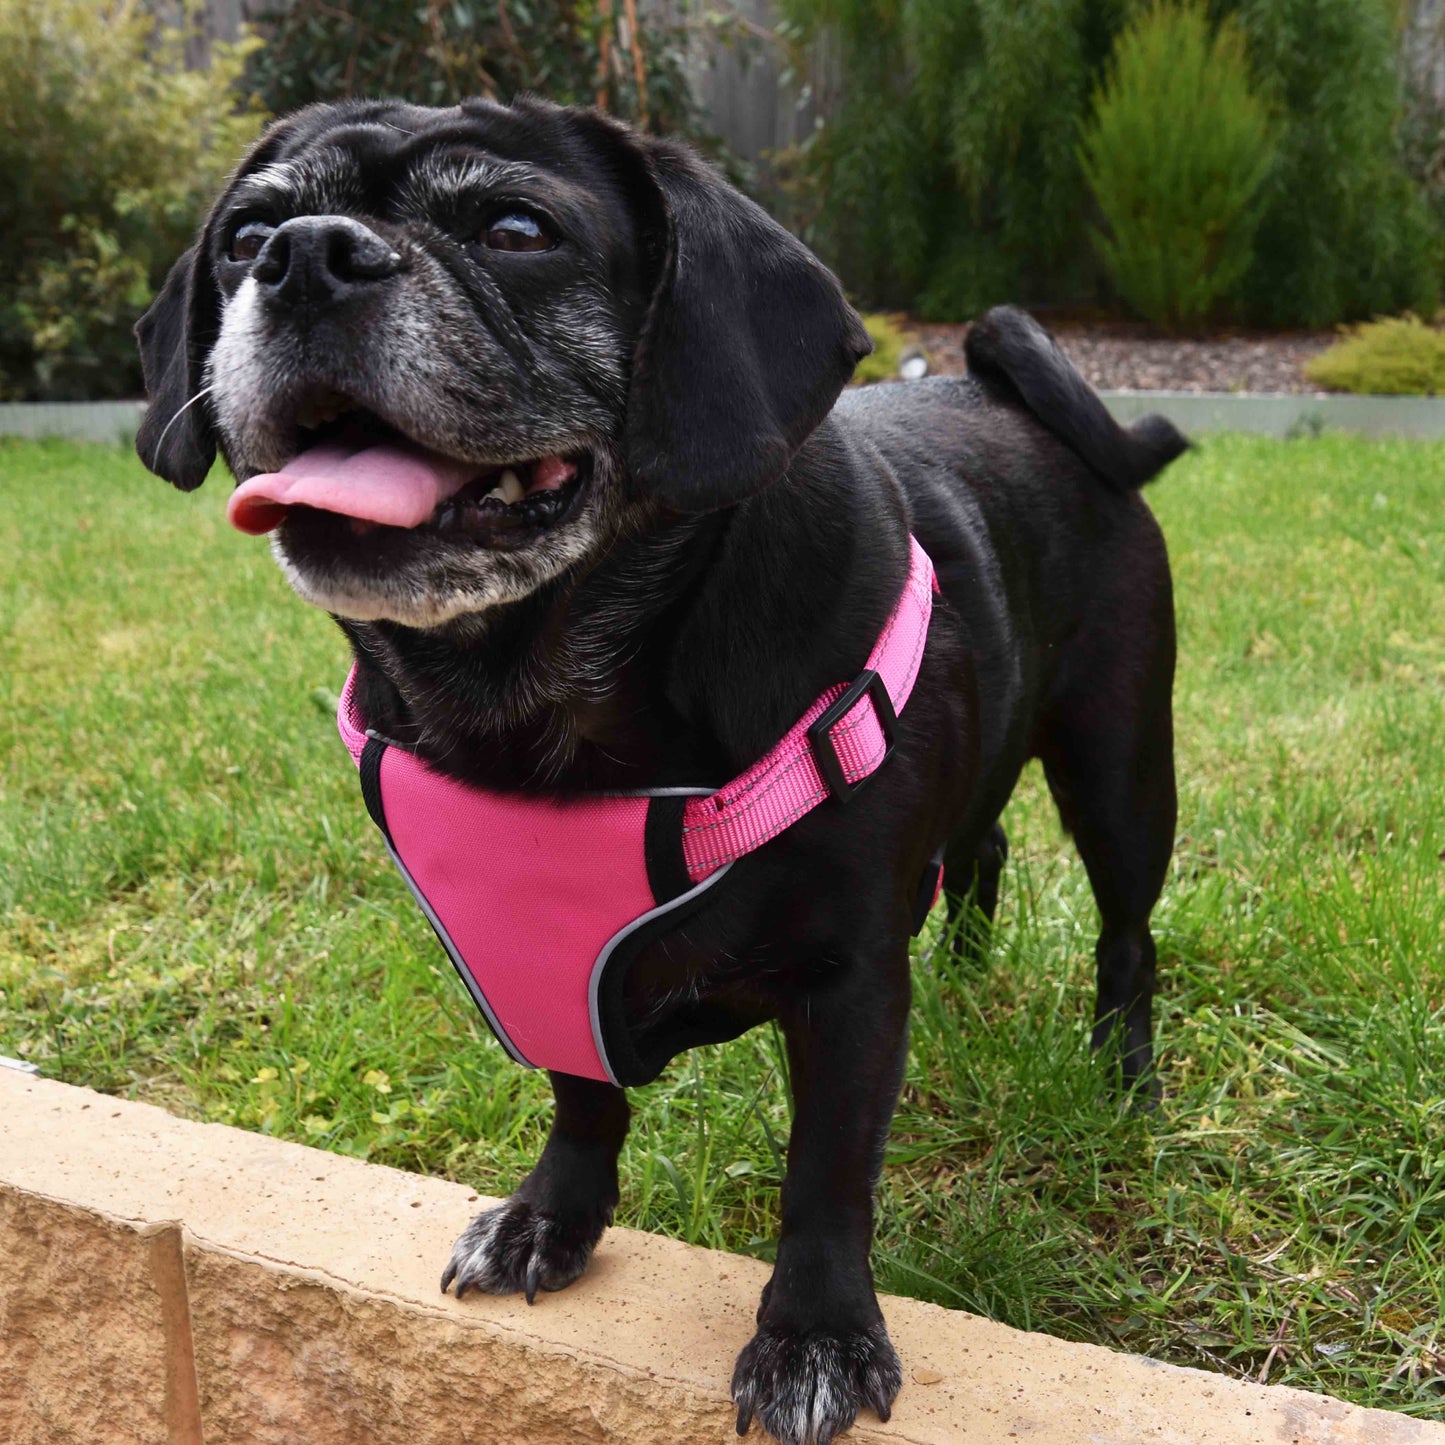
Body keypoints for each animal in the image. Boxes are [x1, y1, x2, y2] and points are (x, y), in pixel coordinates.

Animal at [132, 98, 1184, 1445]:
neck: (539, 696)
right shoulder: (533, 960)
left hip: (1117, 765)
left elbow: (825, 1174)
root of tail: (1028, 399)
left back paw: (1122, 1077)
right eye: (242, 236)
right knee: (979, 845)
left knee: (1123, 934)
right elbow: (583, 1095)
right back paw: (964, 972)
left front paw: (814, 1336)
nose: (307, 253)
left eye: (517, 228)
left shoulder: (846, 988)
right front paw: (551, 1215)